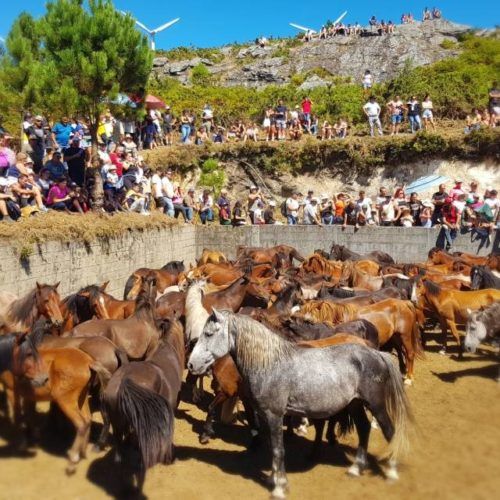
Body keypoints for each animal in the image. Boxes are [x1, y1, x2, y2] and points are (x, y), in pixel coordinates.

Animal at [188, 310, 414, 498]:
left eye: (209, 334)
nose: (191, 364)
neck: (269, 364)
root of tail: (377, 354)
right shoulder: (264, 414)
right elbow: (272, 448)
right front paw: (273, 478)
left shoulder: (274, 415)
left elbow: (278, 450)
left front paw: (280, 488)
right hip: (355, 404)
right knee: (364, 428)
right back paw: (355, 469)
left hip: (376, 404)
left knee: (390, 431)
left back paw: (391, 472)